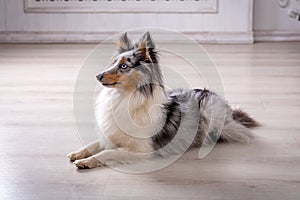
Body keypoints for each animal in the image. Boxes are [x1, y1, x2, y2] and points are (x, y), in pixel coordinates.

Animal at [67, 32, 258, 170]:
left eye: (124, 66)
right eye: (114, 63)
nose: (98, 76)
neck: (126, 97)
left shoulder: (144, 150)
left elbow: (108, 153)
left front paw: (86, 162)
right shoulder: (111, 134)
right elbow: (94, 144)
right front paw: (77, 154)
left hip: (211, 114)